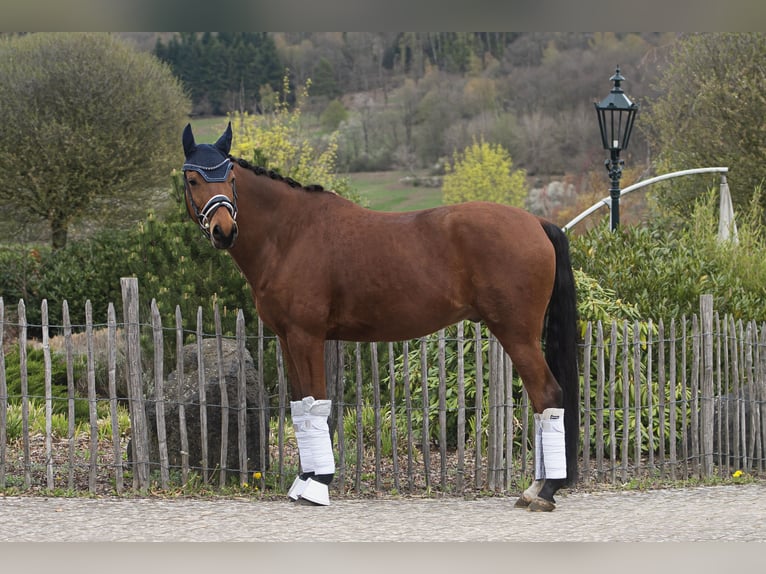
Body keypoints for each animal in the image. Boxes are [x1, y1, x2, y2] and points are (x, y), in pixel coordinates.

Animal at [181, 122, 580, 511]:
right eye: (193, 179)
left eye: (231, 177)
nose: (224, 230)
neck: (290, 234)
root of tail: (536, 222)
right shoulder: (286, 337)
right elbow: (300, 408)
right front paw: (303, 481)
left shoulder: (306, 336)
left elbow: (316, 405)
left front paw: (318, 485)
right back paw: (535, 488)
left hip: (517, 334)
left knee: (547, 395)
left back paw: (545, 492)